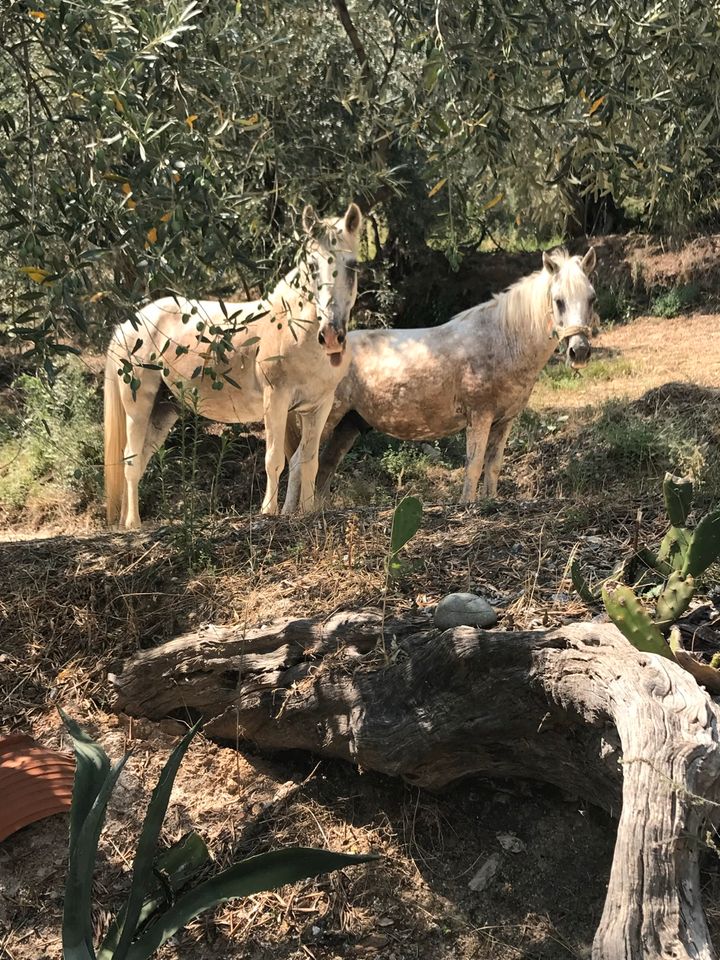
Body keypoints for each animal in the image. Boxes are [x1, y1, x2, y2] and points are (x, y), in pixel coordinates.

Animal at [104, 204, 362, 532]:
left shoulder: (317, 407)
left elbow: (308, 461)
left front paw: (306, 512)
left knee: (141, 459)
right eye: (313, 267)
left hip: (165, 409)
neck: (295, 330)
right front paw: (268, 512)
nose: (331, 335)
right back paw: (134, 524)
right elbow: (274, 459)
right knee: (131, 460)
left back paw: (126, 524)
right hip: (138, 406)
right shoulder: (275, 400)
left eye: (352, 265)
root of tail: (129, 323)